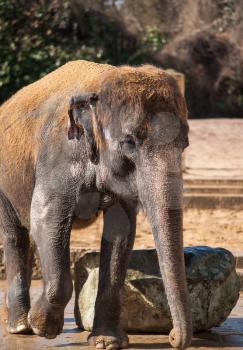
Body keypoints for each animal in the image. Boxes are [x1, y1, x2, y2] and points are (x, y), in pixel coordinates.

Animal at [0, 60, 192, 350]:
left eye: (185, 144)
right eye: (129, 142)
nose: (172, 337)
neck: (100, 84)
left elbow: (121, 231)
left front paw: (106, 342)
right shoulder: (59, 154)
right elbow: (46, 218)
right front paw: (44, 327)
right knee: (16, 235)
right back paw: (21, 327)